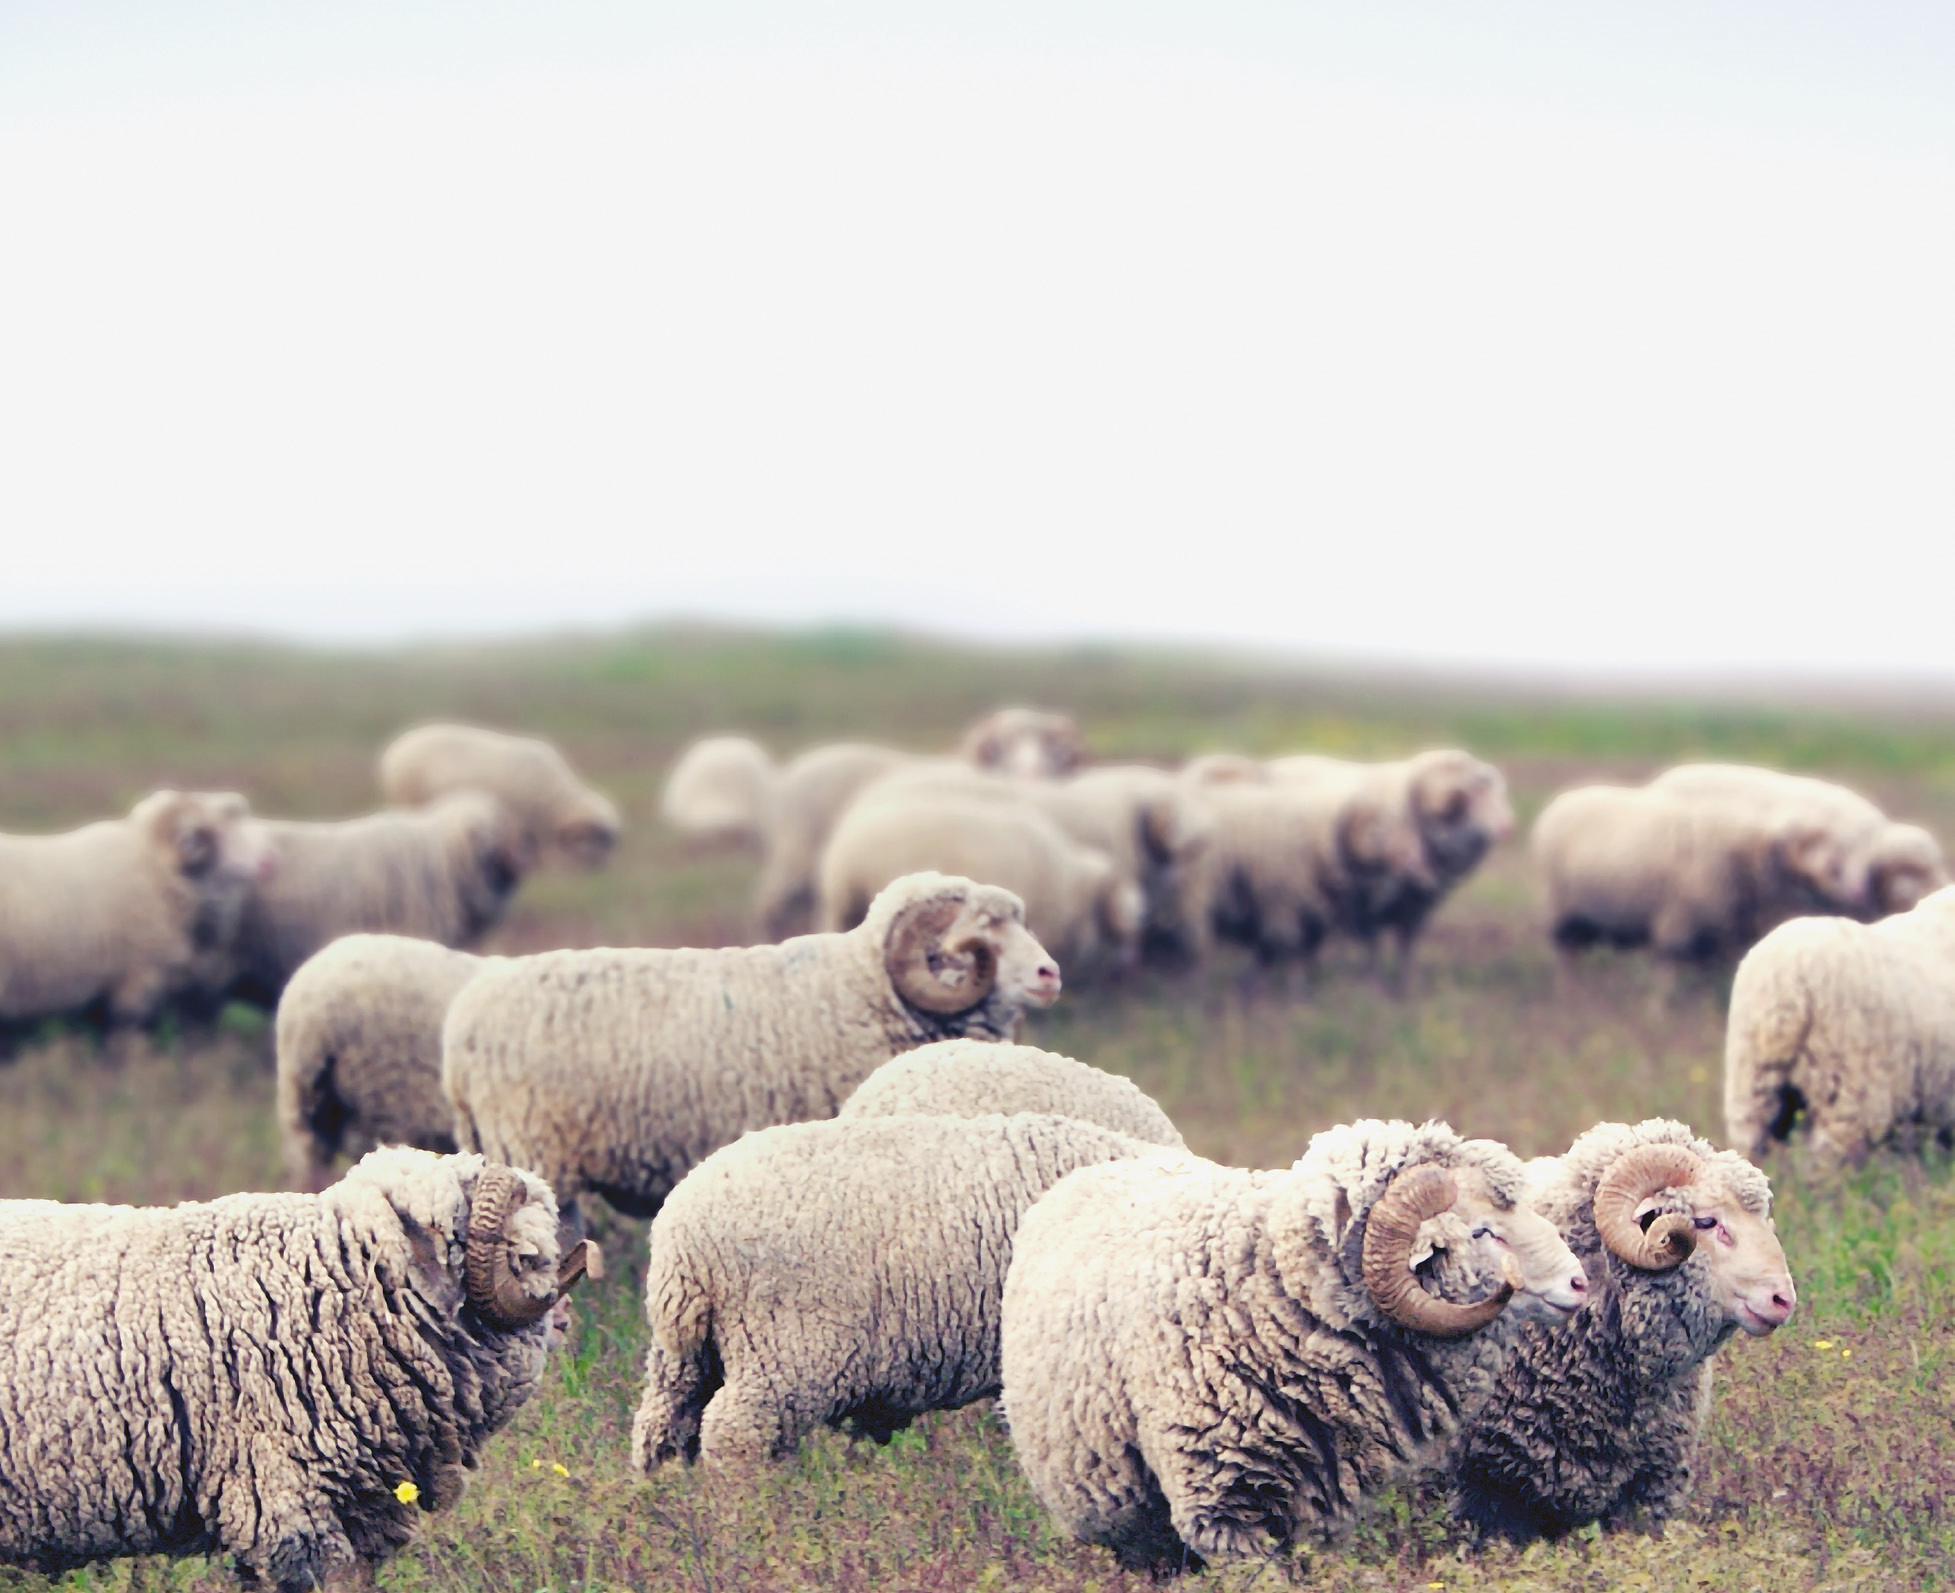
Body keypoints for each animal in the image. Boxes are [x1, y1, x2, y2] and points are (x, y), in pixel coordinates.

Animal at [0, 789, 276, 1054]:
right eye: (212, 833)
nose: (269, 860)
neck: (153, 865)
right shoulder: (139, 974)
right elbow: (127, 1026)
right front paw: (132, 1058)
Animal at [379, 722, 622, 868]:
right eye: (595, 838)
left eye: (608, 842)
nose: (599, 869)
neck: (557, 797)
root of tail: (394, 749)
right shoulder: (525, 816)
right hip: (407, 797)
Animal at [1531, 783, 1859, 969]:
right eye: (1831, 864)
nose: (1854, 897)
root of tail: (1557, 804)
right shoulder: (1675, 932)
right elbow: (1669, 987)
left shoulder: (1713, 943)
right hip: (1557, 913)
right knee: (1564, 959)